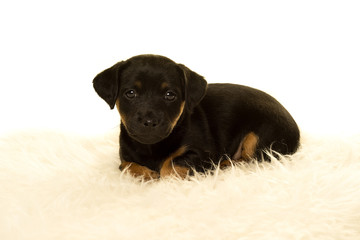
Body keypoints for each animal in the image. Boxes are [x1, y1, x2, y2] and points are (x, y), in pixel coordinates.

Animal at [93, 54, 300, 178]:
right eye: (130, 93)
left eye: (170, 95)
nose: (149, 121)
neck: (152, 146)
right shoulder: (125, 157)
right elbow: (127, 165)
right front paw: (147, 175)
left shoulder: (200, 154)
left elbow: (169, 165)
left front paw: (160, 176)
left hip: (259, 137)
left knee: (252, 158)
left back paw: (225, 164)